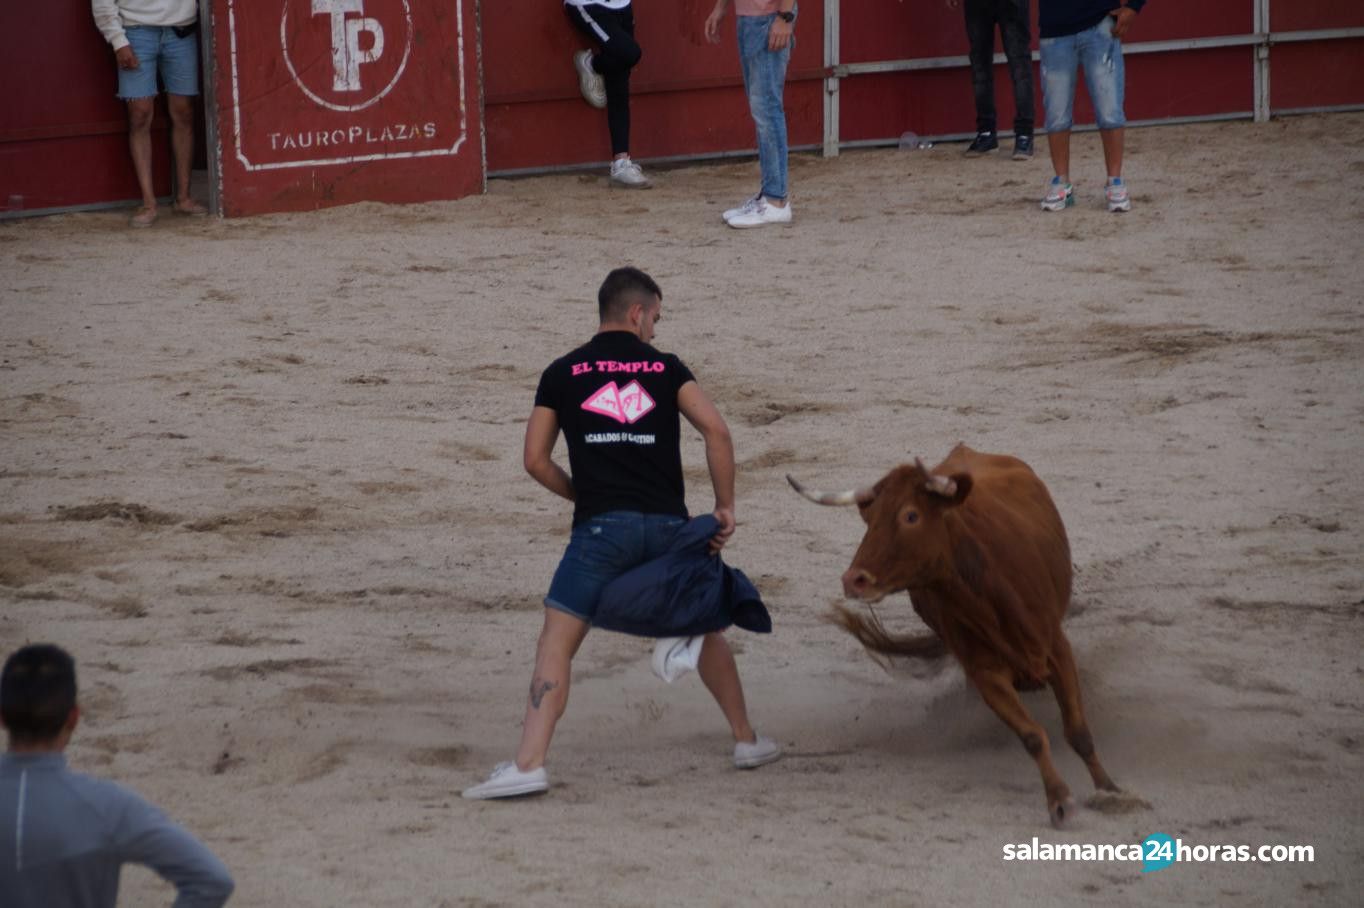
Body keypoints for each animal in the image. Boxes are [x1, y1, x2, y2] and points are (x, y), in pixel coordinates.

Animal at [791, 441, 1118, 823]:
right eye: (869, 520)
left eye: (911, 516)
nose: (854, 580)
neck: (988, 593)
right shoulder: (984, 673)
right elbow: (1032, 735)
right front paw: (1058, 799)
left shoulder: (1057, 649)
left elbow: (1078, 732)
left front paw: (1110, 789)